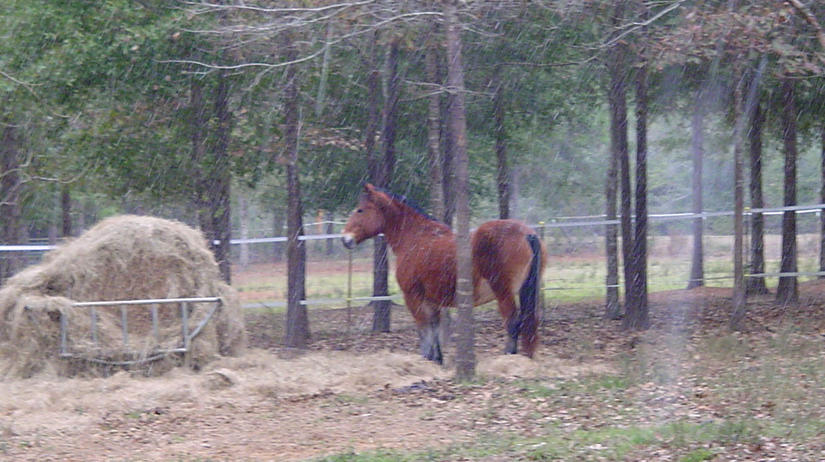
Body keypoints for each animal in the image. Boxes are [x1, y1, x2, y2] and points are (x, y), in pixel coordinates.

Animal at [342, 184, 548, 364]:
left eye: (360, 210)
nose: (345, 239)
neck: (416, 238)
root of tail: (527, 234)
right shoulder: (432, 300)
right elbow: (434, 328)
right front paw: (437, 360)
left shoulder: (413, 297)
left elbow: (424, 329)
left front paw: (426, 359)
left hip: (503, 293)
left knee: (512, 323)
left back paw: (509, 358)